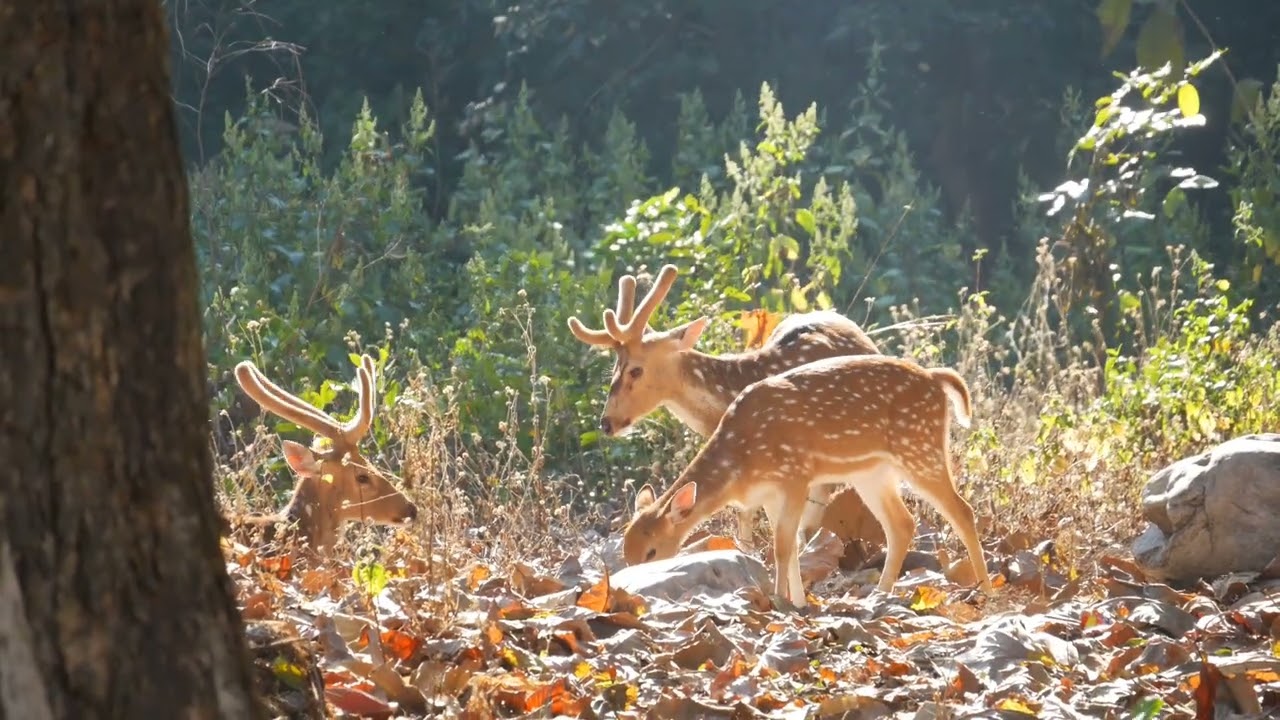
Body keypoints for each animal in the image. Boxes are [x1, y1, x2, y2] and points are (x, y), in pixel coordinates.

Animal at [621, 354, 992, 604]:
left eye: (652, 551)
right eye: (626, 552)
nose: (632, 584)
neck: (742, 462)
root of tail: (936, 379)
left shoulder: (795, 475)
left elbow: (783, 546)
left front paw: (780, 601)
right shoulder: (770, 494)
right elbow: (792, 547)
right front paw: (798, 601)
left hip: (919, 447)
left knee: (962, 510)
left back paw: (986, 589)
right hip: (872, 472)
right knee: (902, 523)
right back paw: (880, 593)